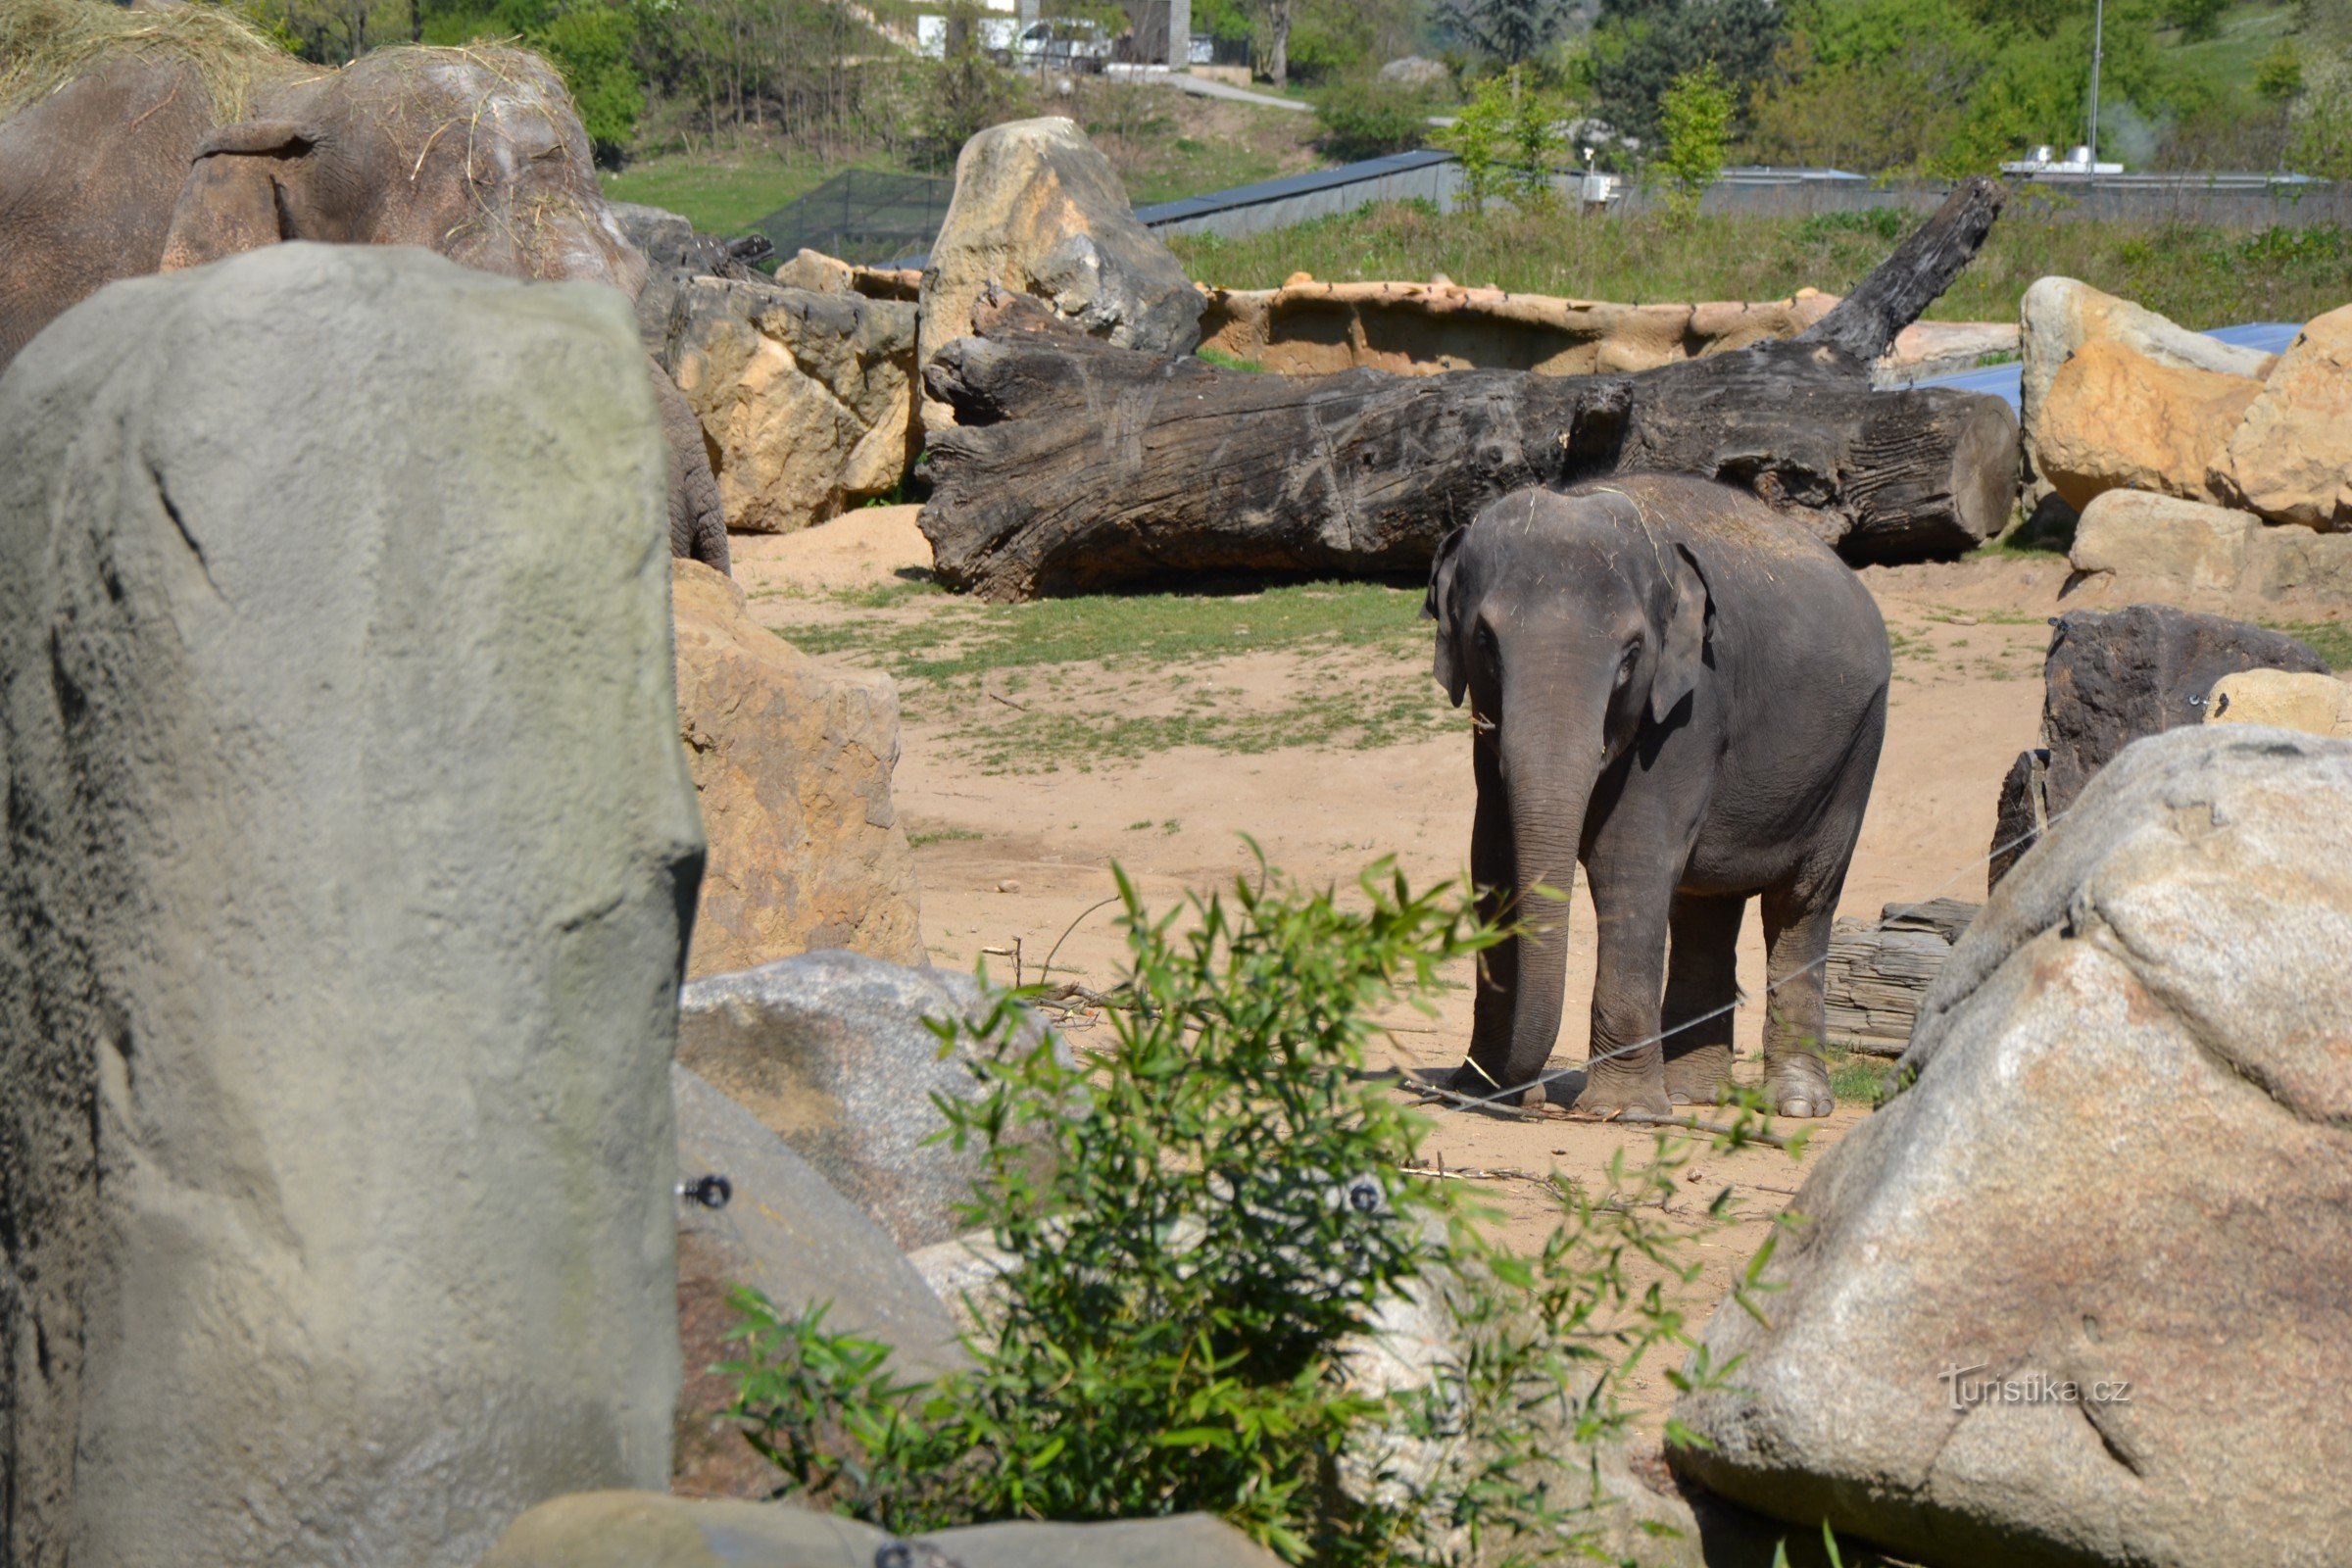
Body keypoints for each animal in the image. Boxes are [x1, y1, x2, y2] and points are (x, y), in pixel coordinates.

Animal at [1411, 472, 1890, 1123]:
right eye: (1484, 640)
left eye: (1631, 657)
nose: (1525, 1099)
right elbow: (1492, 859)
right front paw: (1474, 1088)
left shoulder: (1689, 708)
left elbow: (1628, 861)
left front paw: (1624, 1112)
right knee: (1705, 906)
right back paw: (1692, 1095)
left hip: (1857, 752)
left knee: (1802, 902)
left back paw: (1793, 1106)